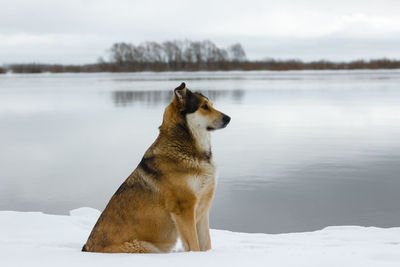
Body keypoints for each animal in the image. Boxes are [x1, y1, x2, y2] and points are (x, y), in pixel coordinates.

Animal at [81, 82, 231, 254]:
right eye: (204, 106)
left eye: (211, 104)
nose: (228, 118)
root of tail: (87, 248)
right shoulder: (184, 209)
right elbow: (194, 245)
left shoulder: (203, 209)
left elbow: (206, 243)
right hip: (144, 247)